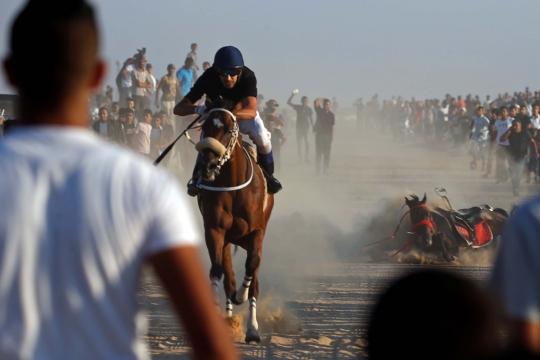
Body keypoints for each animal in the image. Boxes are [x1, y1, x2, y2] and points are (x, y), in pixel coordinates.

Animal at [194, 97, 274, 344]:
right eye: (204, 127)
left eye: (229, 129)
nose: (208, 167)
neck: (233, 187)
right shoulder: (214, 230)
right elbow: (217, 270)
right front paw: (218, 311)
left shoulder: (257, 231)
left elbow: (252, 266)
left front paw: (242, 299)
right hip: (228, 240)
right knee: (228, 275)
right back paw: (229, 317)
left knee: (254, 277)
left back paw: (251, 327)